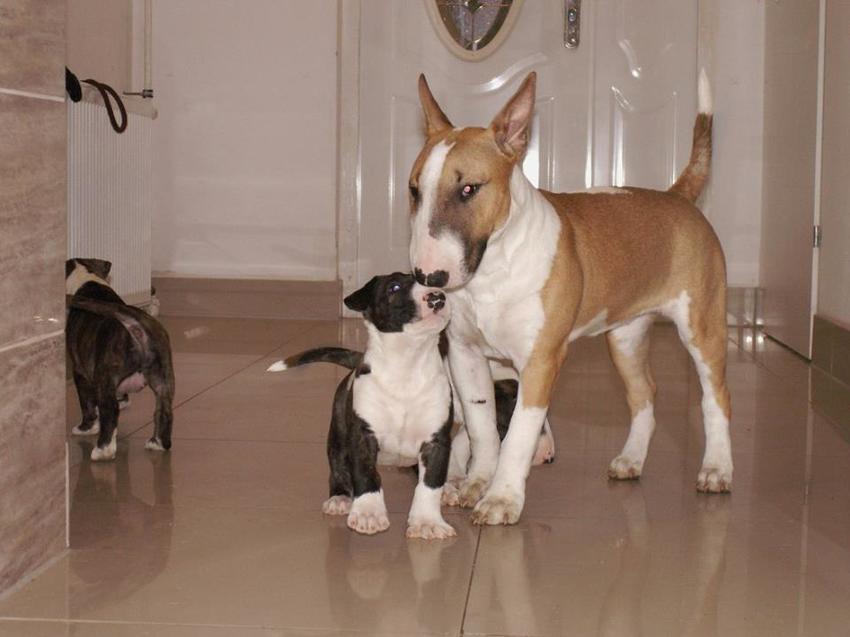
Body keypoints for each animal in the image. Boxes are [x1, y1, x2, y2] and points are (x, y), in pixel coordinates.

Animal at [66, 258, 175, 461]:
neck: (86, 280)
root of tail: (137, 323)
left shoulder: (80, 371)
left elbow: (87, 403)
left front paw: (86, 428)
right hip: (164, 380)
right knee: (164, 411)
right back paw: (157, 443)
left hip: (105, 376)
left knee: (110, 411)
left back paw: (103, 450)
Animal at [408, 69, 731, 526]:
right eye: (414, 190)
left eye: (469, 189)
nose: (428, 276)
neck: (492, 271)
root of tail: (677, 197)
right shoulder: (465, 353)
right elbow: (482, 425)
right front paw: (475, 483)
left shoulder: (541, 361)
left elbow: (519, 434)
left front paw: (502, 499)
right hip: (625, 337)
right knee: (644, 393)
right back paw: (631, 460)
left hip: (702, 327)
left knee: (716, 397)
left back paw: (718, 468)